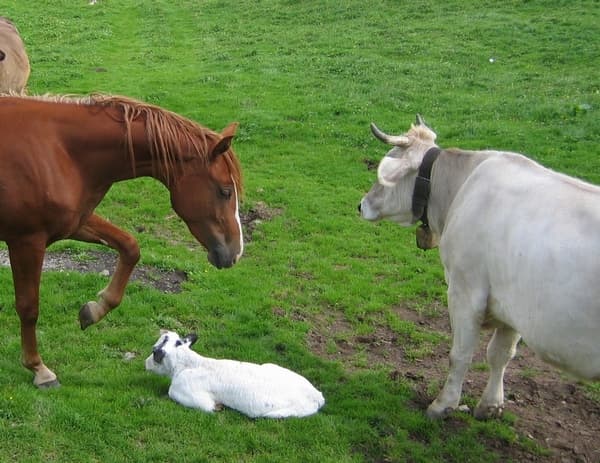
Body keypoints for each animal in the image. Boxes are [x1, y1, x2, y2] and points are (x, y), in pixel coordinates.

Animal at [0, 94, 244, 388]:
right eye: (225, 191)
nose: (235, 252)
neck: (59, 150)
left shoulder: (76, 222)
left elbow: (130, 247)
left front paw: (95, 309)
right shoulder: (27, 241)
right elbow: (29, 307)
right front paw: (38, 368)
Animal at [360, 117, 600, 420]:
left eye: (386, 165)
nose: (361, 205)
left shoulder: (465, 290)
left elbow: (459, 354)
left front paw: (443, 404)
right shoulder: (513, 303)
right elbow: (500, 354)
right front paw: (491, 405)